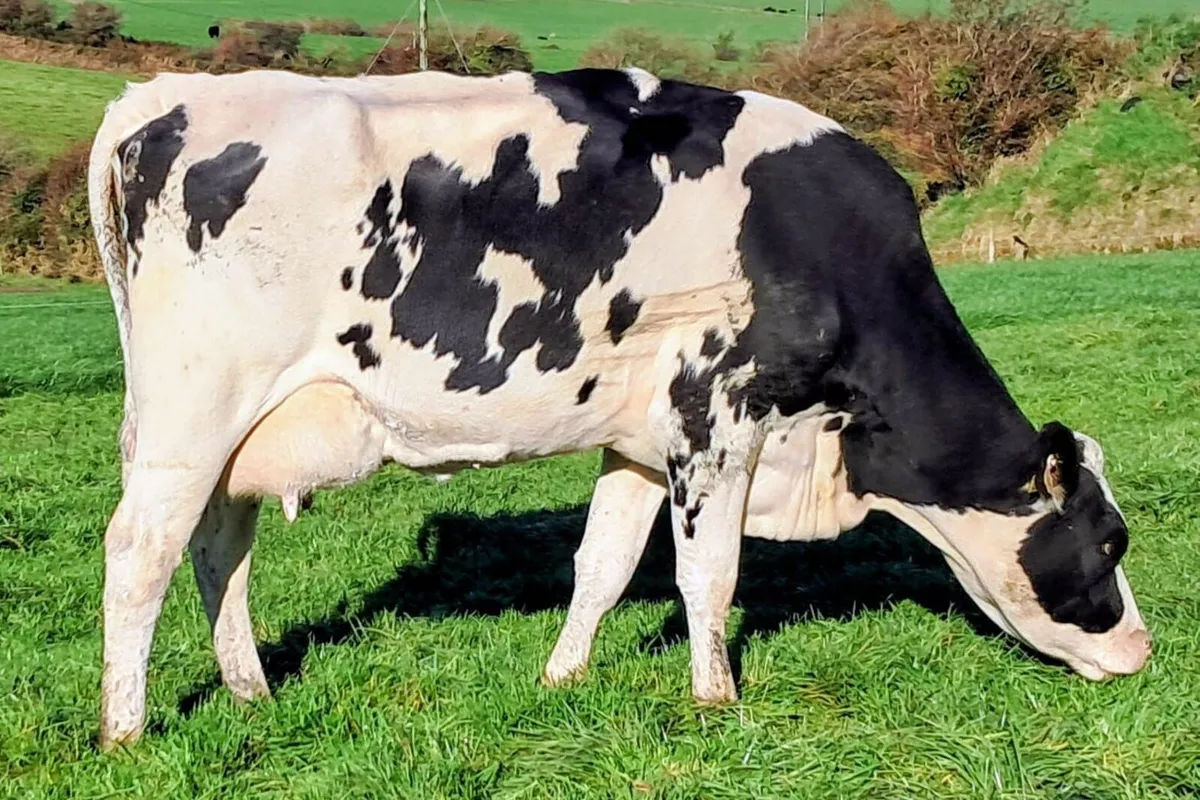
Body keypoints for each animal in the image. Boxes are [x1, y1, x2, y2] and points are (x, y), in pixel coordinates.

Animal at [87, 66, 1150, 749]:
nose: (1142, 650)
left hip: (227, 433)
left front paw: (564, 677)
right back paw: (125, 730)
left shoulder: (643, 437)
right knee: (142, 551)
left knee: (219, 547)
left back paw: (249, 690)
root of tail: (162, 94)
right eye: (1109, 541)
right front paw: (717, 704)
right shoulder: (716, 416)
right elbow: (709, 576)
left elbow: (601, 564)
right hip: (197, 410)